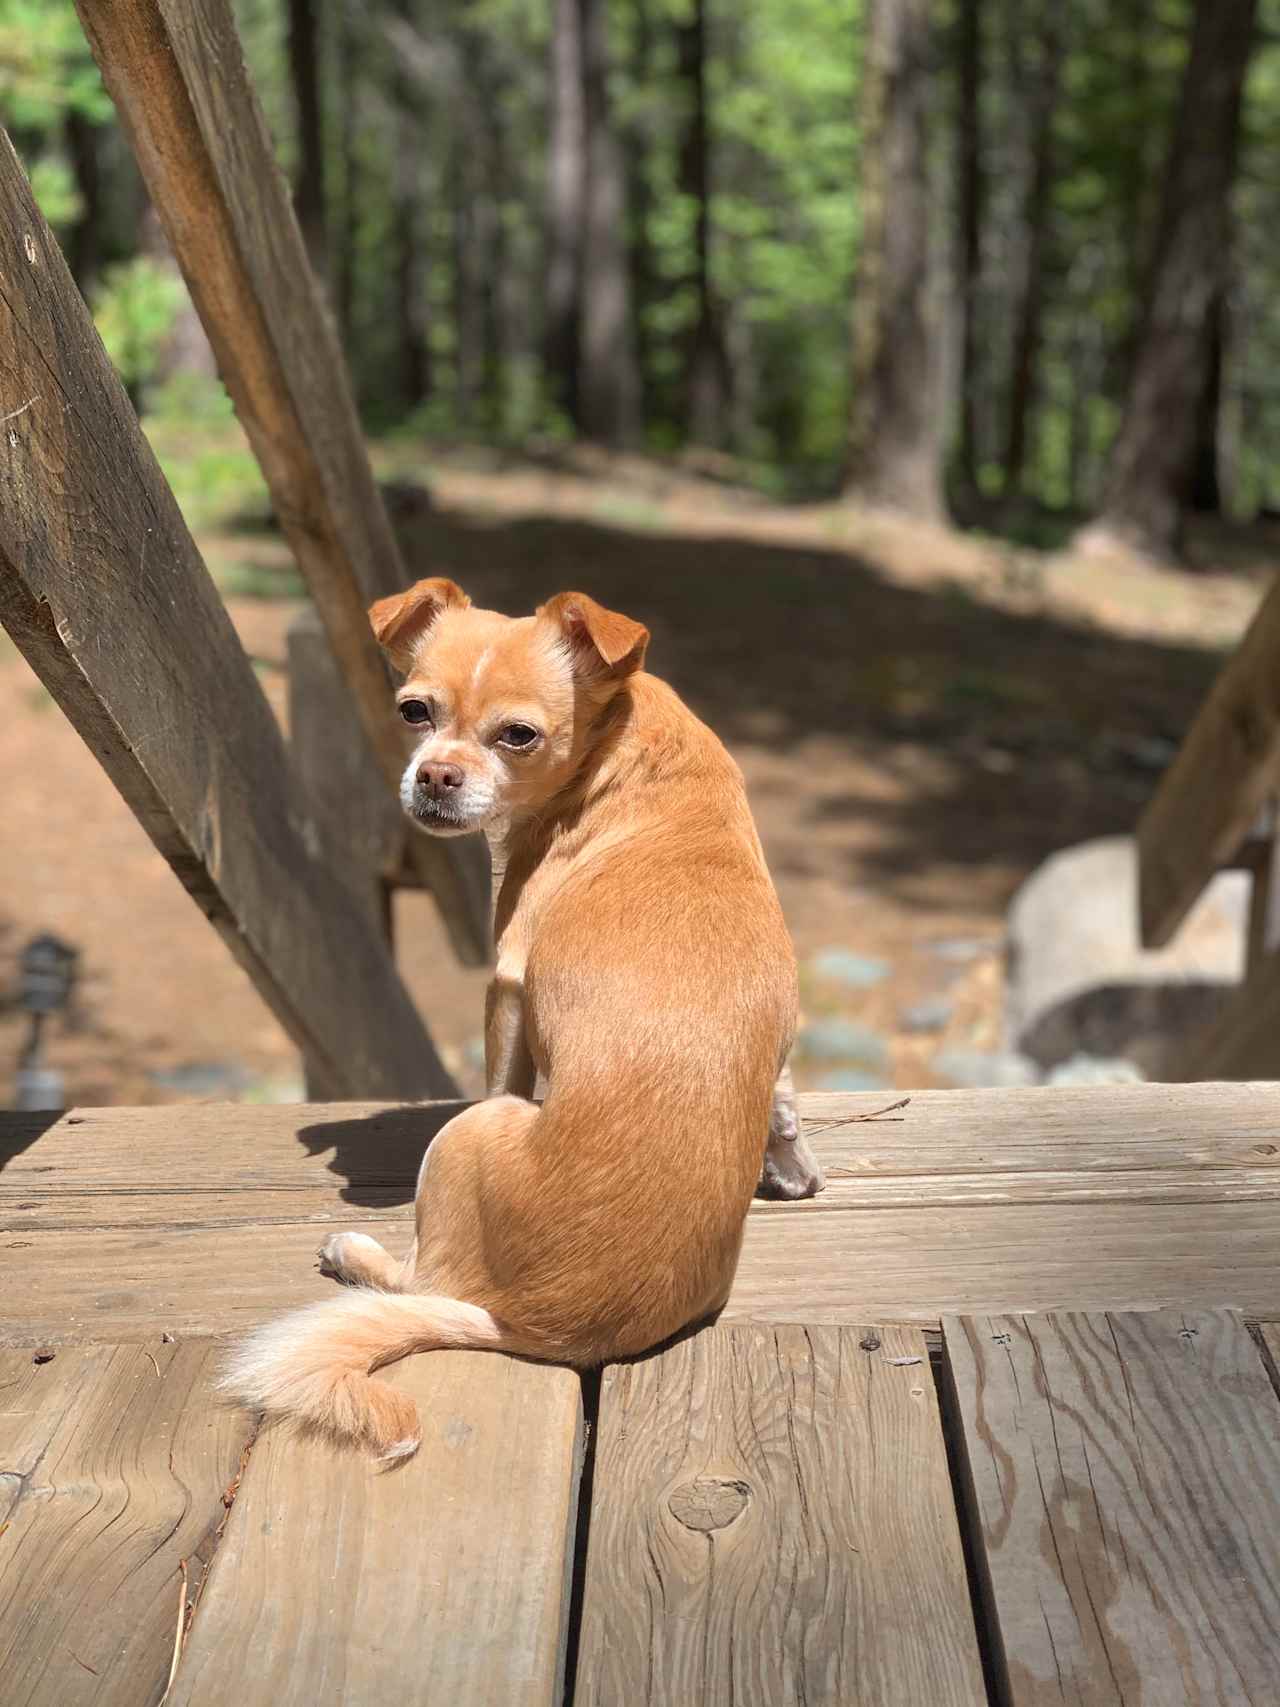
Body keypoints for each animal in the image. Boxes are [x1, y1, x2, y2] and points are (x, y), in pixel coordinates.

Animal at [225, 583, 826, 1454]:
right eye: (413, 711)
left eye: (518, 735)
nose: (435, 773)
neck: (618, 746)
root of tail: (533, 1327)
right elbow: (783, 1096)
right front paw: (794, 1167)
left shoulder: (507, 980)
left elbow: (498, 1060)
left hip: (465, 1139)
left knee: (424, 1277)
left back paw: (356, 1254)